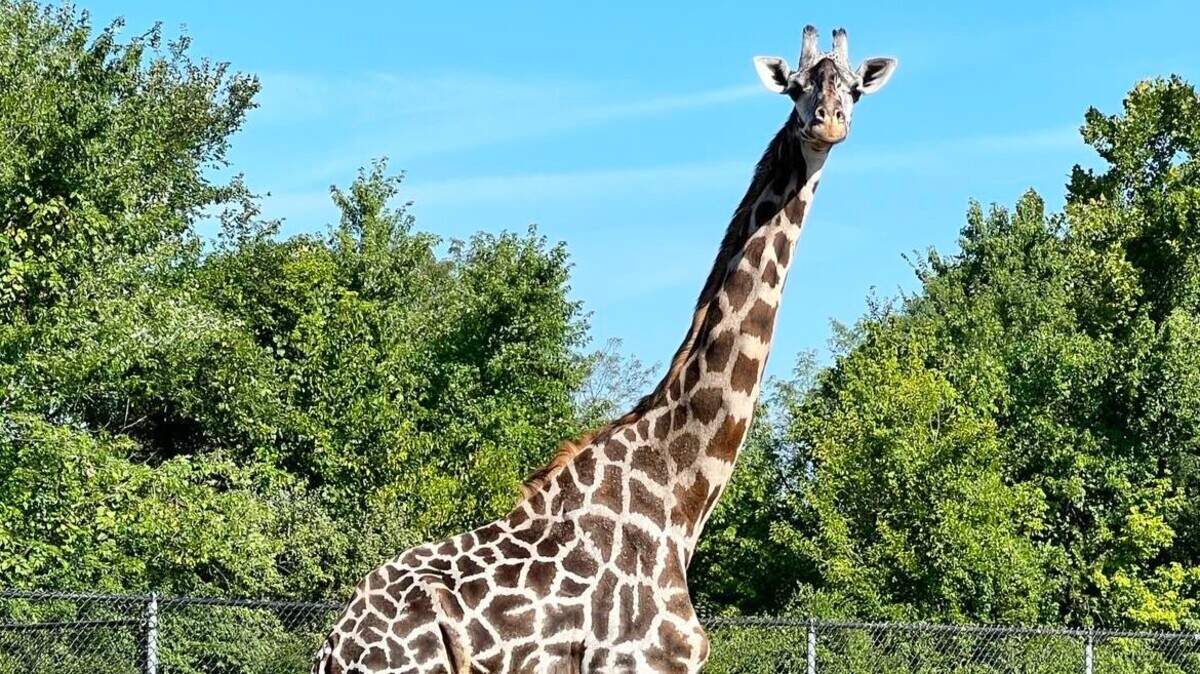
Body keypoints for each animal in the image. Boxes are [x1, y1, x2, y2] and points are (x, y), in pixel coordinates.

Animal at [314, 25, 896, 674]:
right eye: (795, 89)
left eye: (853, 88)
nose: (828, 122)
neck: (679, 494)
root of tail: (334, 646)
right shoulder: (637, 662)